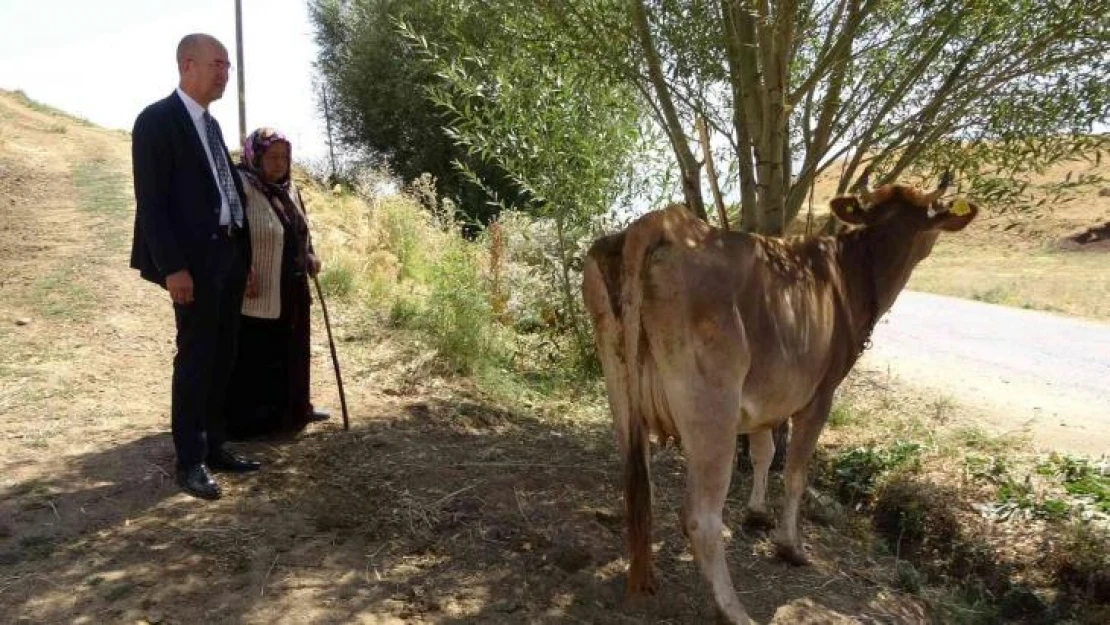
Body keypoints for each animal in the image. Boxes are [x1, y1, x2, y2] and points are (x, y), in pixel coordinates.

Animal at [581, 178, 981, 621]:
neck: (848, 275)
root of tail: (657, 223)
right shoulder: (820, 395)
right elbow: (794, 472)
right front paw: (790, 546)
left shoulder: (765, 398)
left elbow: (763, 450)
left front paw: (757, 514)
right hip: (712, 406)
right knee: (701, 516)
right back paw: (734, 610)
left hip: (619, 380)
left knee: (638, 483)